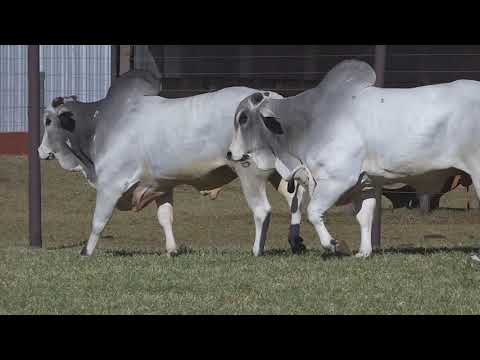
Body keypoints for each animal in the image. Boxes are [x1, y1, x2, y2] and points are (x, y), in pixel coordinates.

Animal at [39, 70, 306, 256]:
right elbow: (165, 218)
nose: (40, 151)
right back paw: (296, 242)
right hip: (279, 173)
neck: (100, 124)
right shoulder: (160, 185)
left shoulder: (110, 185)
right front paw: (172, 250)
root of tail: (272, 99)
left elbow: (98, 221)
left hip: (250, 172)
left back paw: (257, 250)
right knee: (294, 200)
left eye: (48, 121)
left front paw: (86, 252)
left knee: (263, 210)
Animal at [227, 60, 480, 260]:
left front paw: (332, 244)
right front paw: (364, 252)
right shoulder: (365, 183)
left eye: (243, 118)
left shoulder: (336, 180)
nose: (230, 153)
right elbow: (364, 218)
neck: (308, 122)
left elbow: (313, 212)